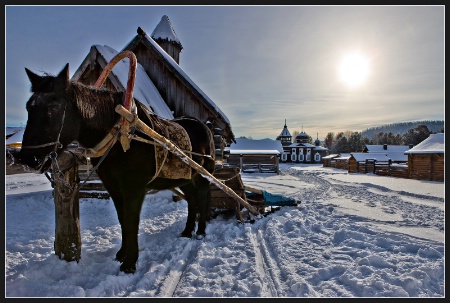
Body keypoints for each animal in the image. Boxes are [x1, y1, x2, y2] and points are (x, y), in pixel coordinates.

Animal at [20, 63, 217, 274]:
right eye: (29, 107)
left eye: (53, 107)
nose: (27, 158)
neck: (121, 137)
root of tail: (204, 126)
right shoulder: (113, 187)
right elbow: (123, 219)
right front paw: (122, 254)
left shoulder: (134, 188)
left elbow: (131, 222)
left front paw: (130, 263)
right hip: (185, 177)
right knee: (192, 200)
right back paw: (187, 231)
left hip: (203, 176)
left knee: (202, 197)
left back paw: (201, 231)